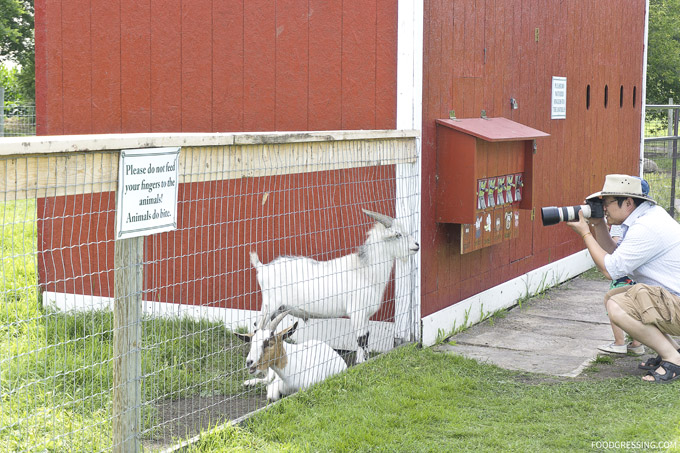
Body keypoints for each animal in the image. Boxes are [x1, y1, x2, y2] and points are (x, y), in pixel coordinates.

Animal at [250, 209, 420, 364]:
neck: (364, 270)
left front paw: (366, 359)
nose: (417, 245)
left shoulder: (365, 314)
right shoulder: (357, 312)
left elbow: (366, 337)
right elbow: (361, 339)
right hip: (269, 304)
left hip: (277, 309)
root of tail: (263, 267)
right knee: (257, 327)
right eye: (398, 235)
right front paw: (360, 363)